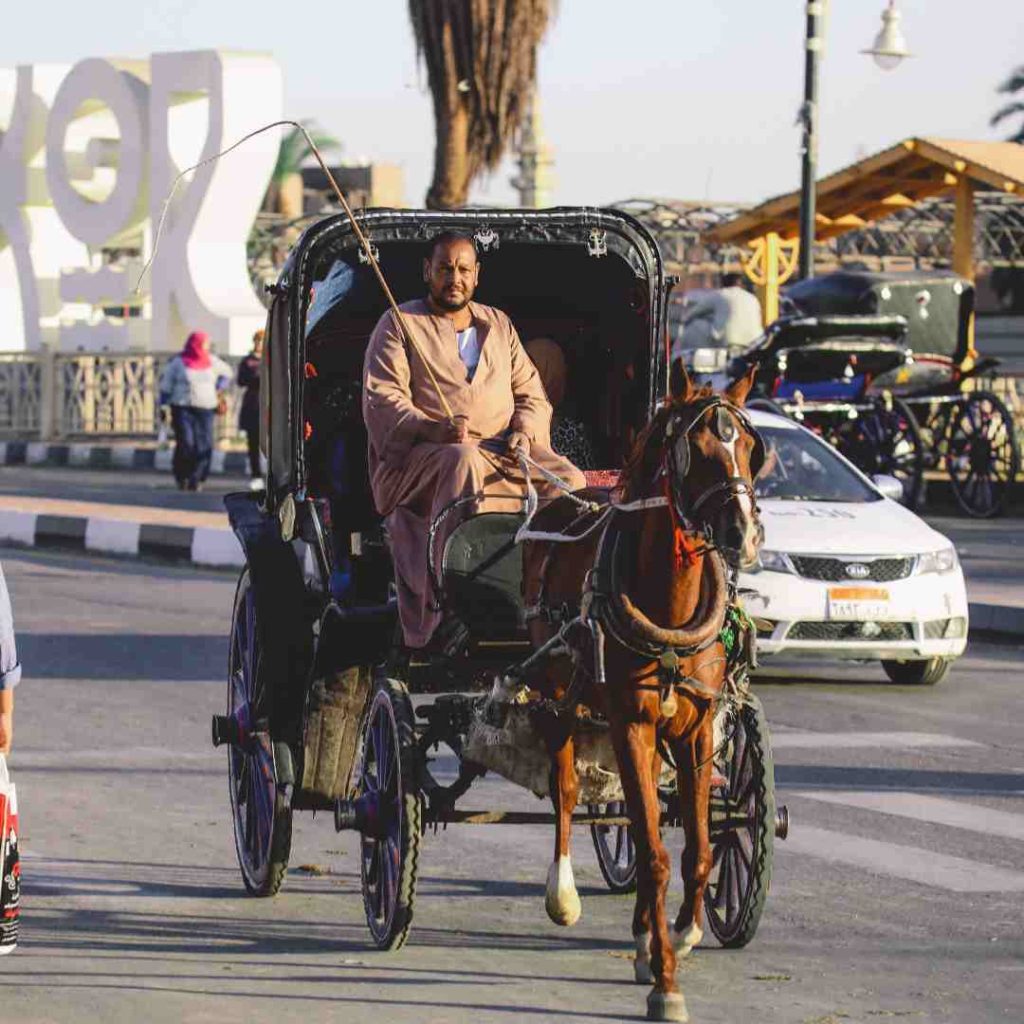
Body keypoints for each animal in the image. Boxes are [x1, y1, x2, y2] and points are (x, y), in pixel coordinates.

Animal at [524, 364, 765, 1019]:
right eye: (696, 450)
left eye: (749, 448)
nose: (742, 533)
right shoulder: (631, 722)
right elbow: (654, 853)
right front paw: (665, 982)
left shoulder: (696, 727)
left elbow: (697, 846)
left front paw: (679, 934)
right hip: (558, 688)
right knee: (566, 789)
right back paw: (563, 892)